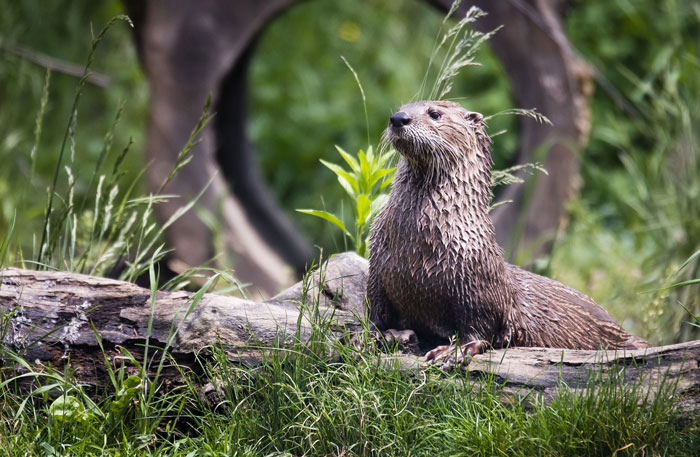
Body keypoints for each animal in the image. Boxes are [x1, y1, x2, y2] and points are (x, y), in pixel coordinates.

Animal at [367, 100, 647, 364]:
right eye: (400, 107)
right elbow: (376, 313)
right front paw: (373, 337)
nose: (398, 118)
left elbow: (480, 327)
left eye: (435, 113)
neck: (416, 246)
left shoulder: (477, 284)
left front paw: (453, 352)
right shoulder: (377, 271)